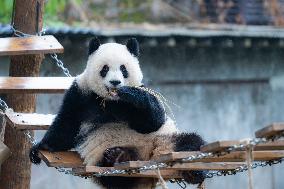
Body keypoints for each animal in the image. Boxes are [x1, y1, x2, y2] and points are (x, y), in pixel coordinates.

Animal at [29, 37, 206, 188]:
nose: (115, 82)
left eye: (123, 69)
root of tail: (150, 159)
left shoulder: (139, 95)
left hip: (165, 140)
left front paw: (132, 95)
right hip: (103, 163)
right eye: (105, 68)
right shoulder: (79, 94)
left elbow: (152, 122)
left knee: (191, 143)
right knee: (117, 178)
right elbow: (66, 125)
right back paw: (119, 156)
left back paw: (194, 173)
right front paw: (39, 149)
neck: (111, 101)